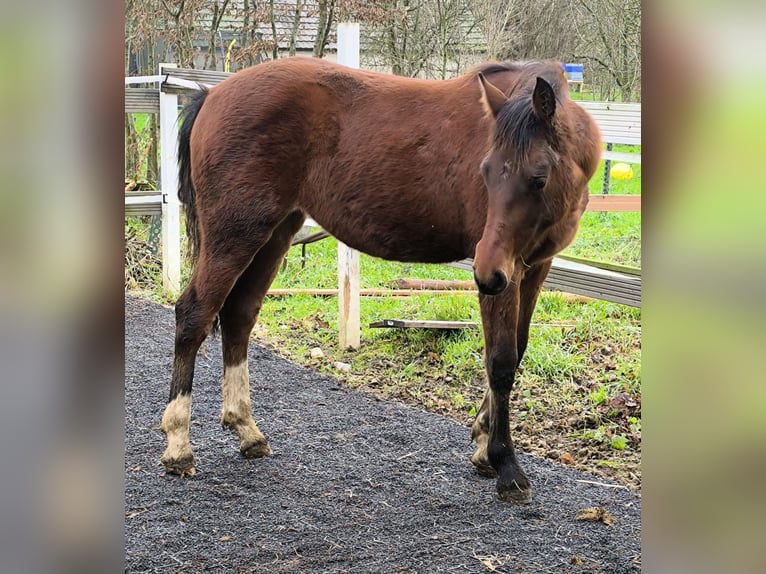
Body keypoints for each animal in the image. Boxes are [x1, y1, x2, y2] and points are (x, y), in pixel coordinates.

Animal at [162, 55, 604, 504]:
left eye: (538, 177)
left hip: (275, 232)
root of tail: (213, 94)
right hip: (236, 234)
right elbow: (500, 360)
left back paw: (246, 430)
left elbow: (518, 347)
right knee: (194, 314)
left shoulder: (530, 266)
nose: (485, 273)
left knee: (239, 315)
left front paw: (483, 445)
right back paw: (179, 445)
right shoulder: (505, 274)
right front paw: (506, 465)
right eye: (486, 172)